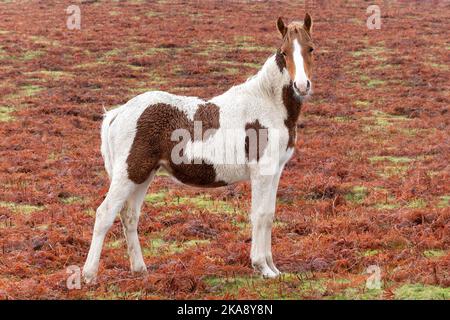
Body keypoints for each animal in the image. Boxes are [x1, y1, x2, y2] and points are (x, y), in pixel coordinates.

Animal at [83, 14, 316, 282]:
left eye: (310, 48)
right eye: (284, 52)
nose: (302, 85)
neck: (267, 104)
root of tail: (118, 113)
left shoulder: (274, 172)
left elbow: (269, 215)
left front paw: (273, 268)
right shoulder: (262, 173)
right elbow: (259, 215)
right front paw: (262, 267)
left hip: (143, 175)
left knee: (129, 216)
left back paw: (140, 269)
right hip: (129, 174)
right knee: (104, 214)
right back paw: (88, 275)